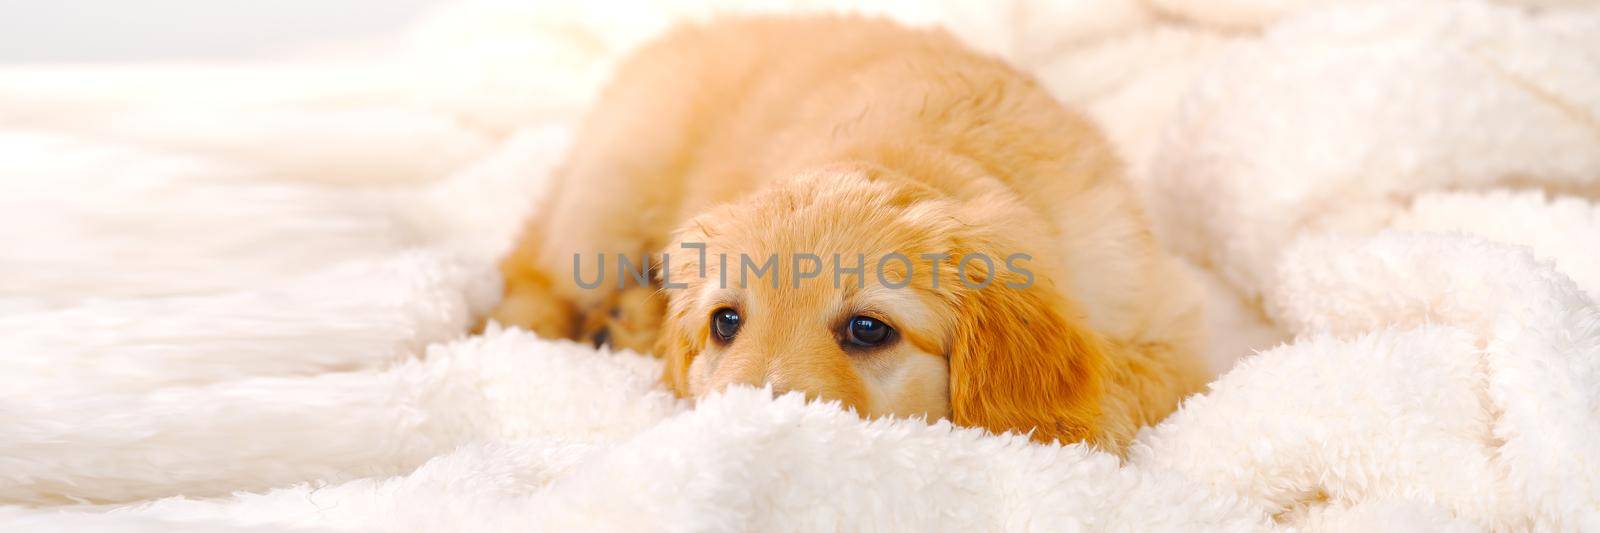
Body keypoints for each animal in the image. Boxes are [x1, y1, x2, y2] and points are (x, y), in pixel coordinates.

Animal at [492, 15, 1203, 448]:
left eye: (867, 329)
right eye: (726, 321)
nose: (744, 425)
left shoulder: (1170, 325)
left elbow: (1124, 387)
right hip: (607, 202)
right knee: (534, 277)